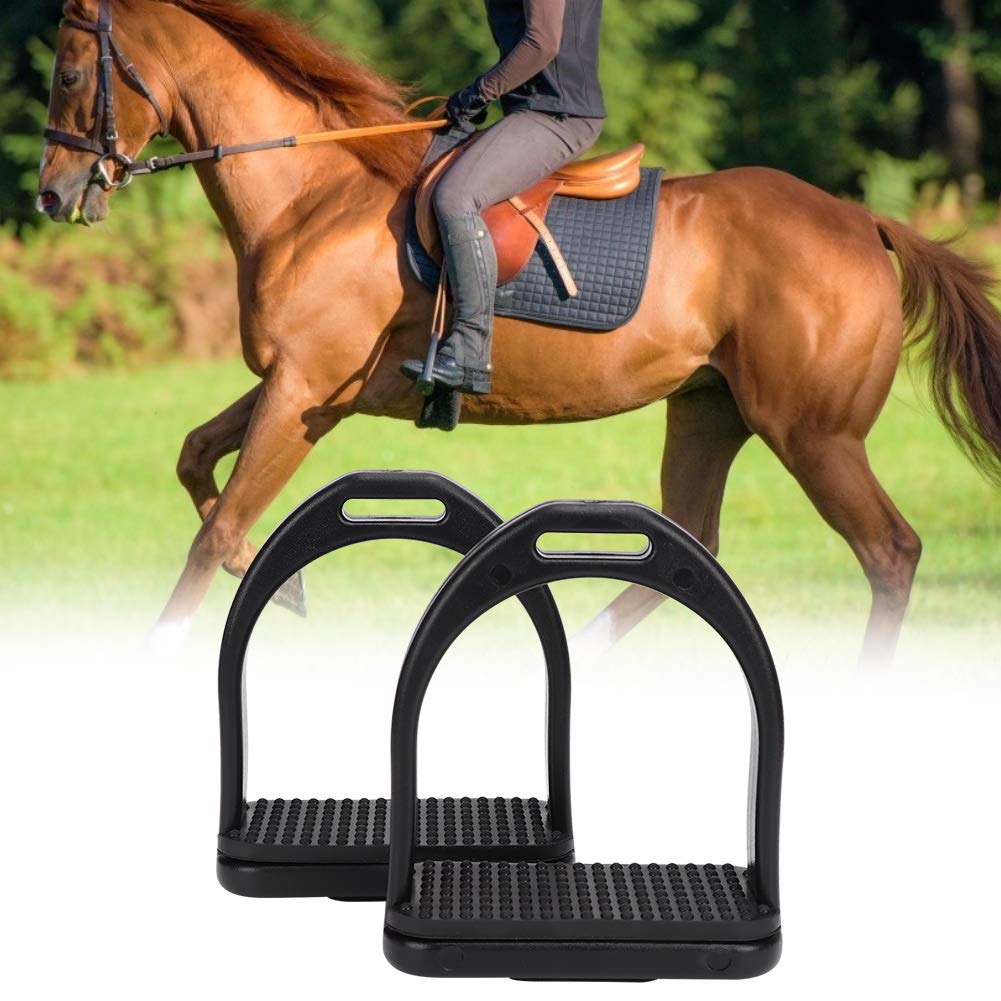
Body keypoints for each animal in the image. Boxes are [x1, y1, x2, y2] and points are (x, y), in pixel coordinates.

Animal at [38, 0, 1001, 668]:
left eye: (72, 77)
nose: (51, 194)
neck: (311, 197)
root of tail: (862, 221)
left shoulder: (303, 393)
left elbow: (214, 528)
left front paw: (167, 640)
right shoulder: (300, 387)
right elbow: (196, 460)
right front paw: (285, 587)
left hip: (813, 434)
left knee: (889, 552)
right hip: (708, 410)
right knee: (688, 546)